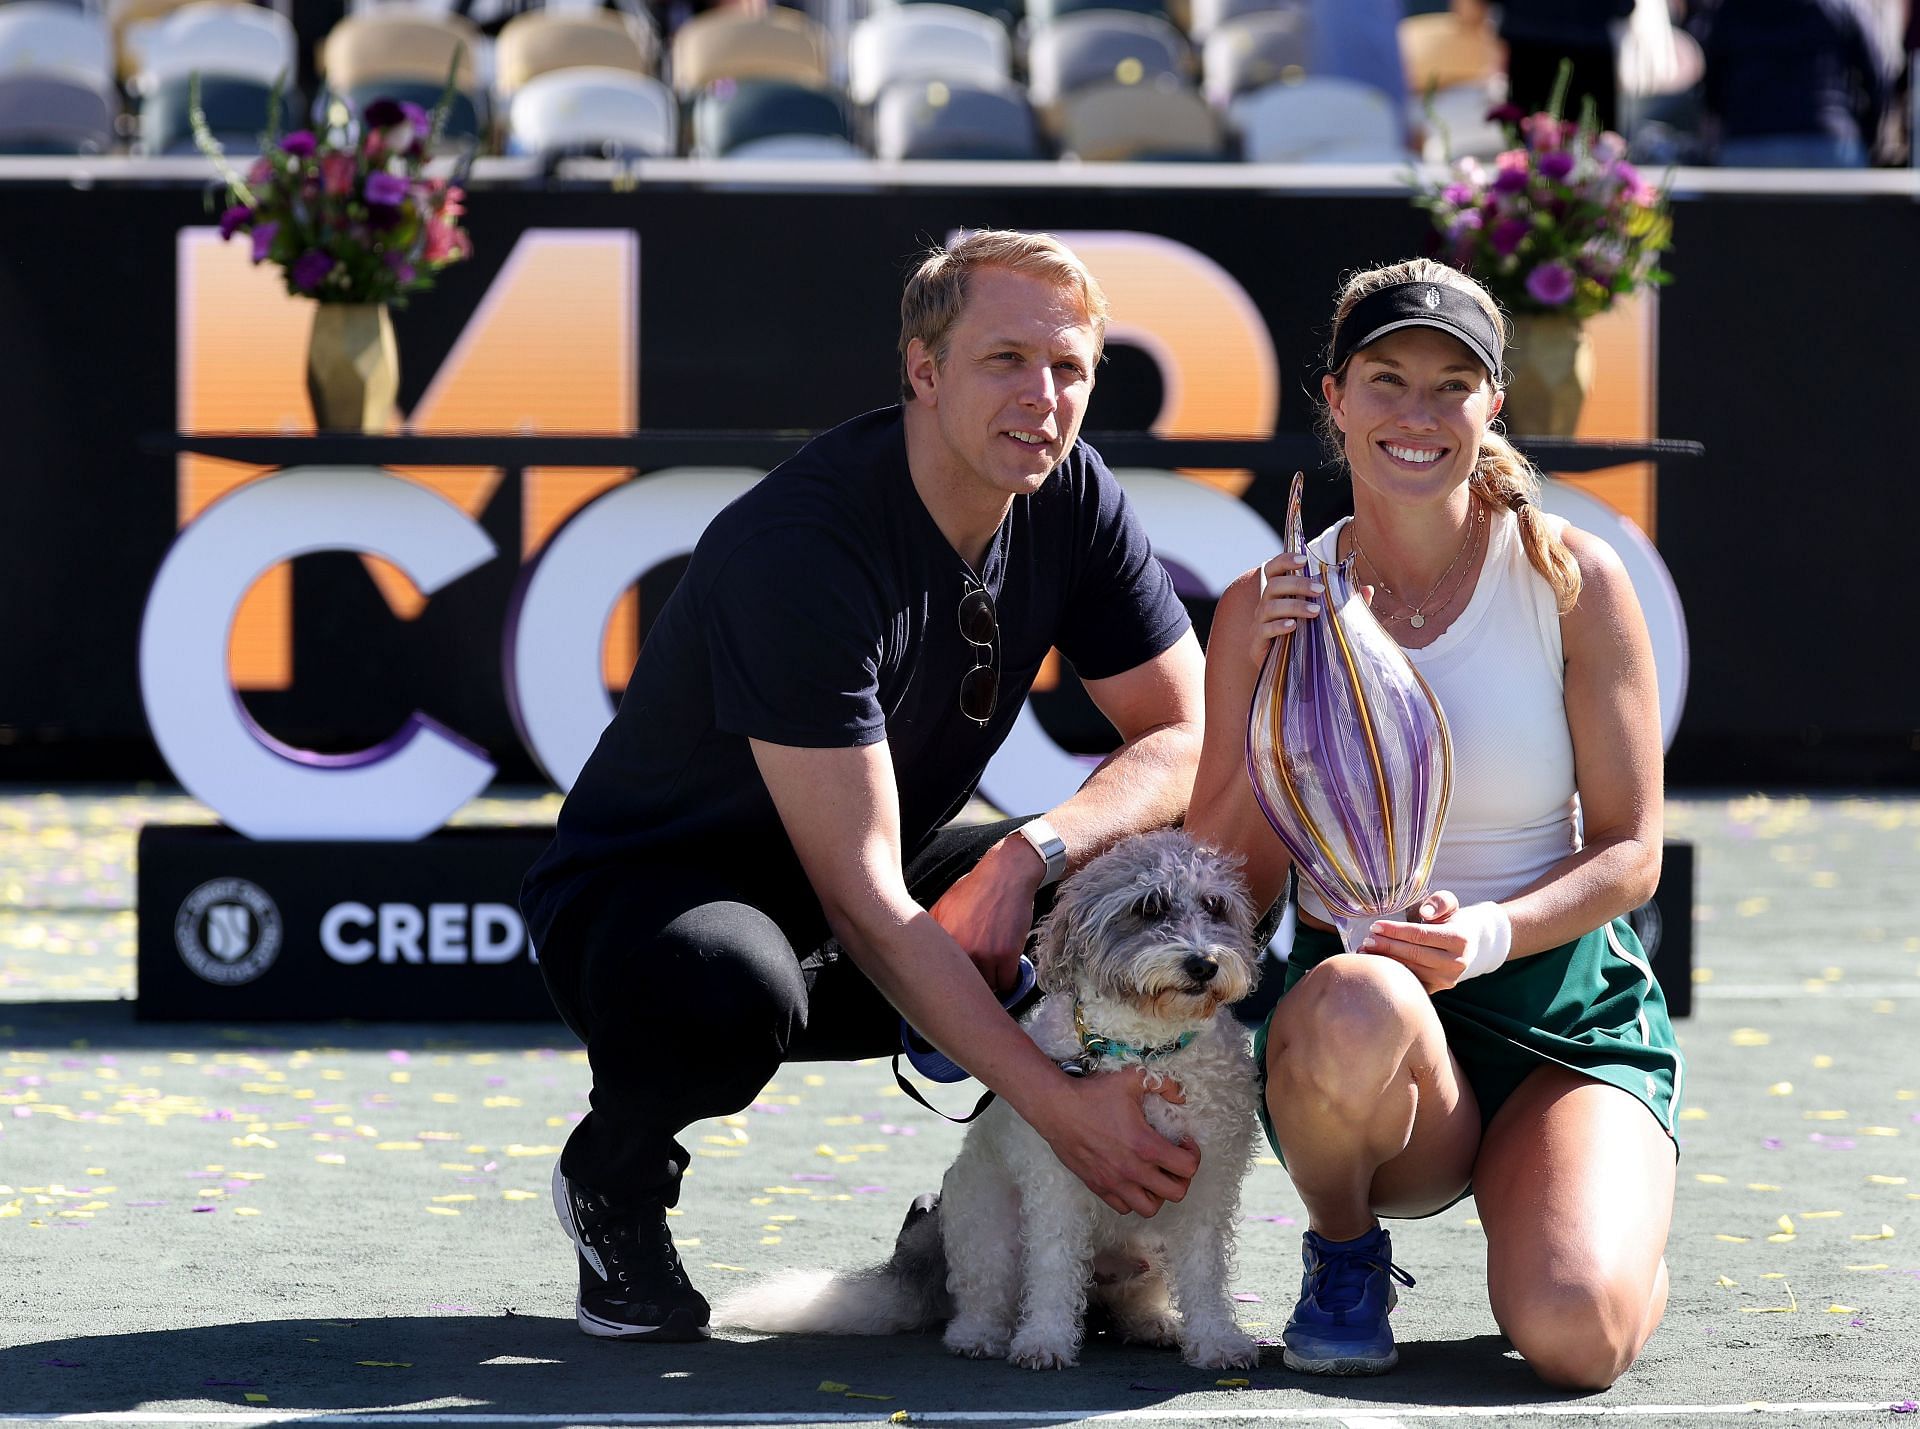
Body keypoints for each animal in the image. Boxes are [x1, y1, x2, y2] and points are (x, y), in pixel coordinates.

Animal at [714, 833, 1267, 1367]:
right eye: (1149, 907)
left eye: (1215, 905)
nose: (1203, 963)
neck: (1147, 1055)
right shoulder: (1060, 1180)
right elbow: (1053, 1268)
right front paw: (1044, 1341)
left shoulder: (1208, 1186)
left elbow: (1204, 1272)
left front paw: (1216, 1342)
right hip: (988, 1230)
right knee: (988, 1298)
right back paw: (979, 1337)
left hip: (1146, 1251)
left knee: (1132, 1298)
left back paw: (1153, 1323)